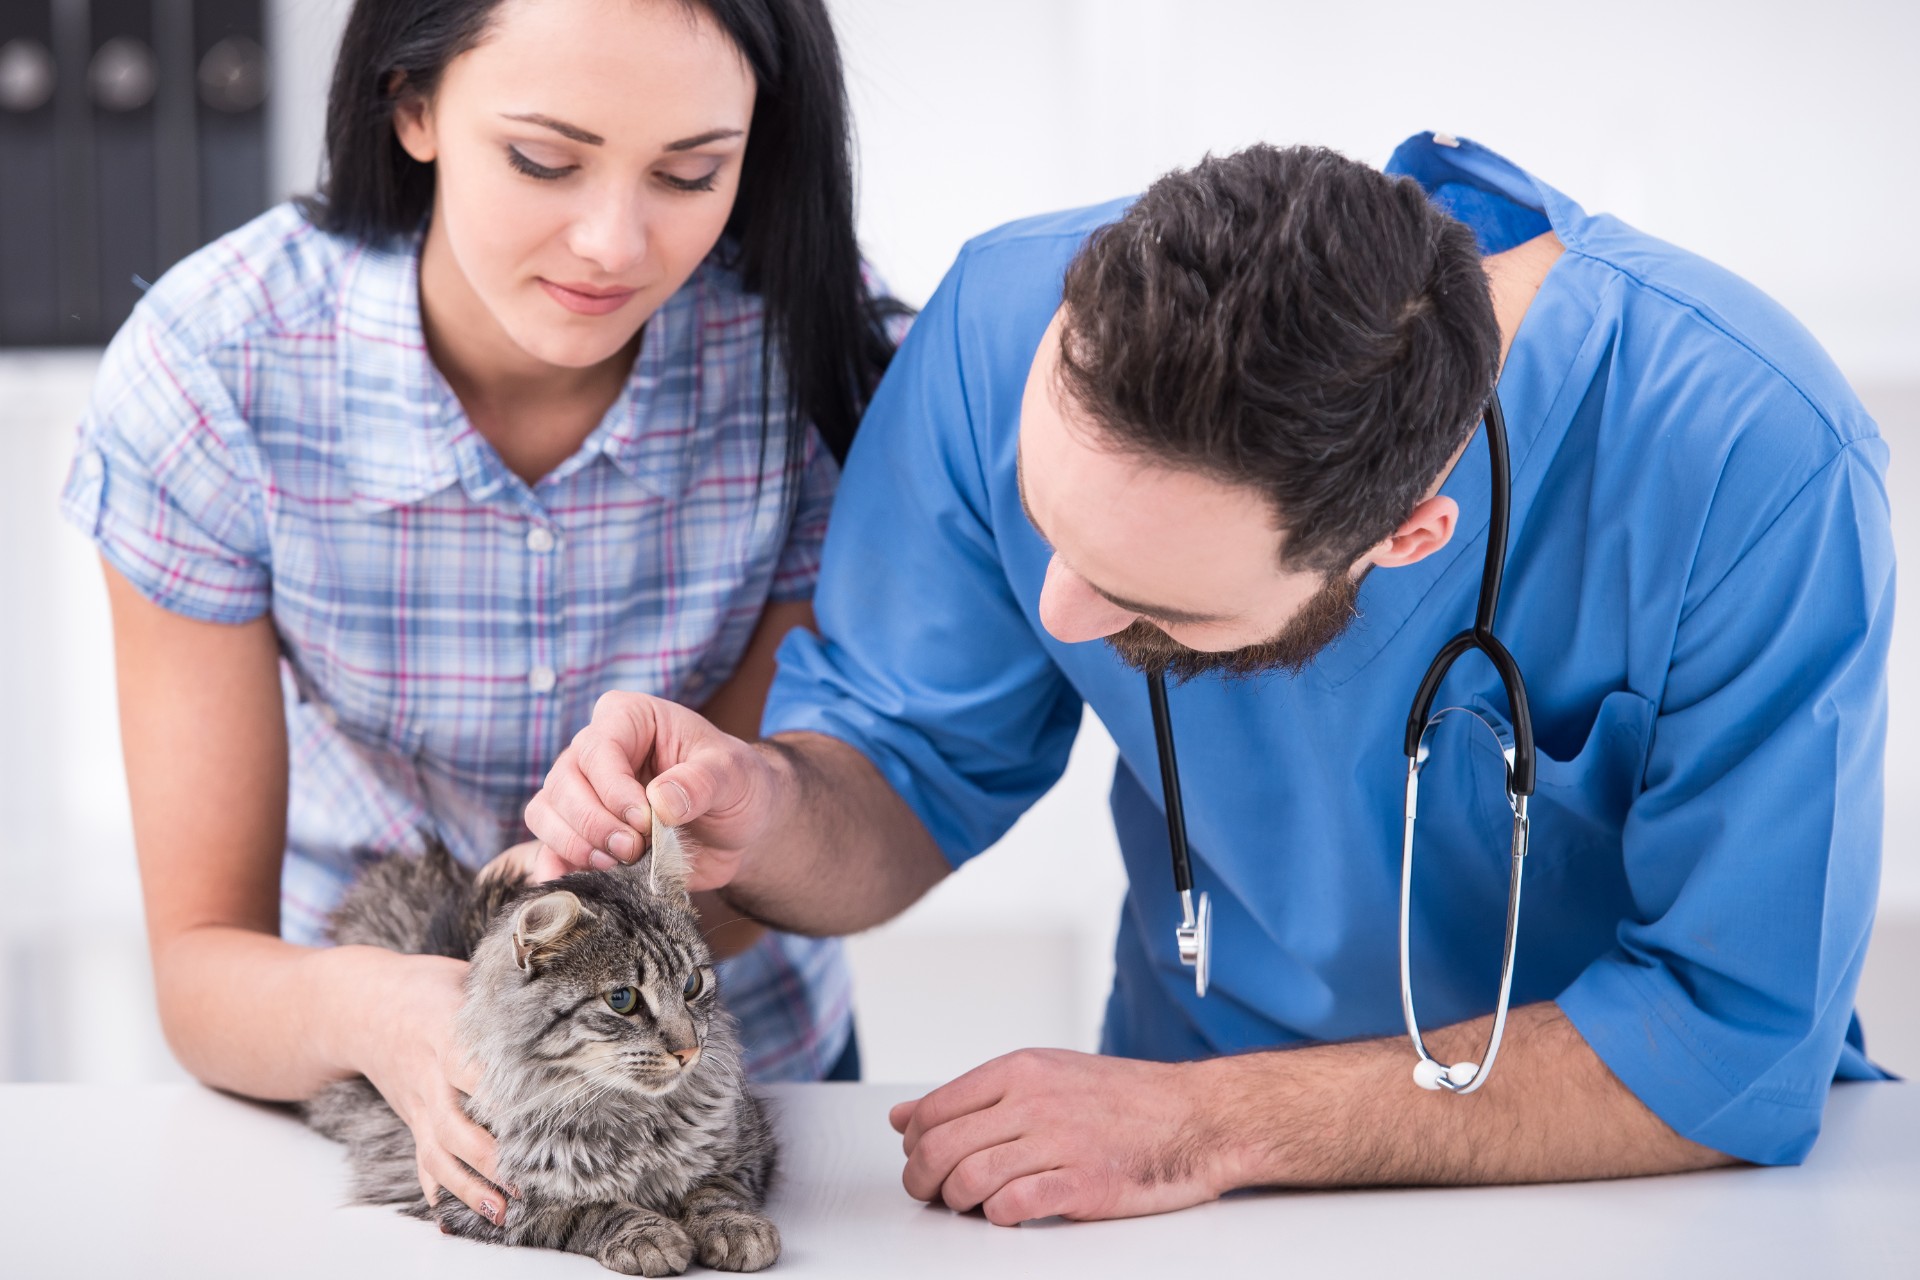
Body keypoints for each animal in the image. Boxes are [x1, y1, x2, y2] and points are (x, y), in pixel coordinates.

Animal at [299, 836, 779, 1274]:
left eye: (692, 985)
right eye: (622, 1000)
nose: (688, 1050)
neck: (635, 1120)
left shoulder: (750, 1148)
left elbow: (714, 1190)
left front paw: (735, 1227)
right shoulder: (477, 1198)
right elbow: (585, 1211)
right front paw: (648, 1235)